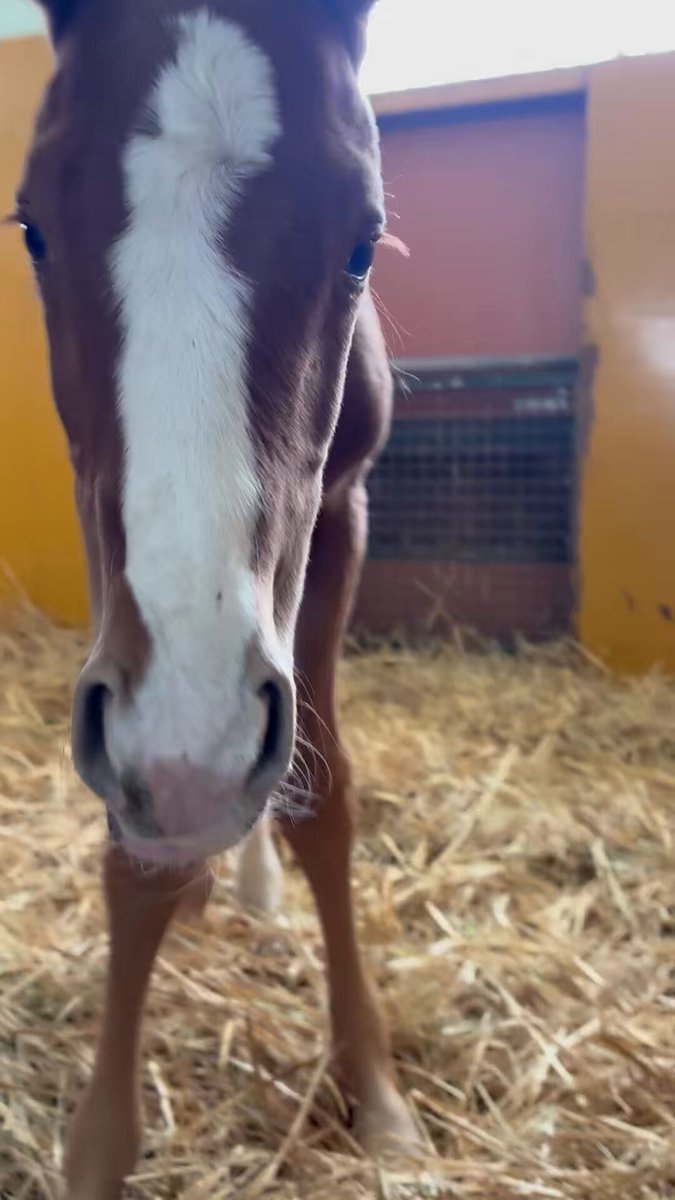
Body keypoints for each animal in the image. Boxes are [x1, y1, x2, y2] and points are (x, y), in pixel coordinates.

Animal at [17, 1, 418, 1194]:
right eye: (32, 228)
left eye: (363, 238)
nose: (194, 760)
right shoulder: (102, 536)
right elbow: (132, 837)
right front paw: (99, 1145)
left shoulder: (343, 511)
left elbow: (327, 801)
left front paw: (373, 1087)